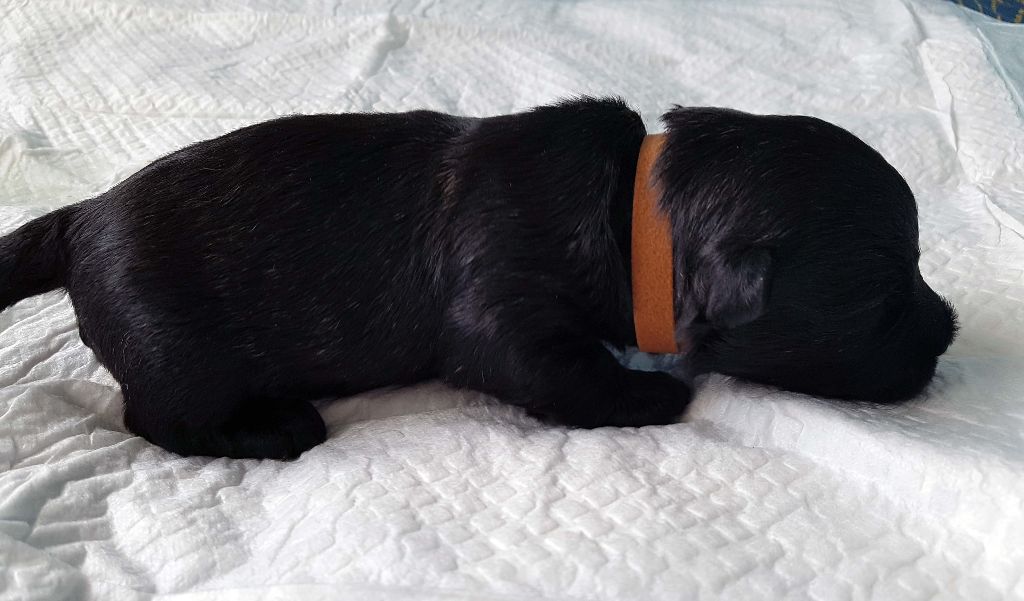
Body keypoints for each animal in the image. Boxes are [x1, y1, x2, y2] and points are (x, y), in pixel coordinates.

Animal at [0, 98, 958, 459]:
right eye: (883, 295)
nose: (949, 331)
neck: (635, 208)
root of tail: (80, 216)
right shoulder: (502, 314)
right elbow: (564, 371)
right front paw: (654, 396)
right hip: (178, 354)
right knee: (158, 418)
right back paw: (276, 427)